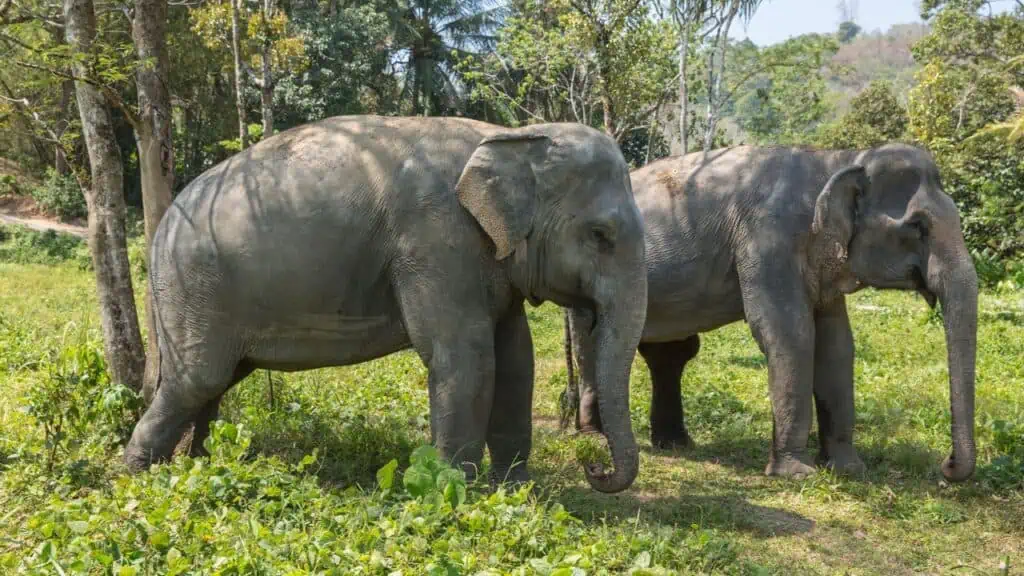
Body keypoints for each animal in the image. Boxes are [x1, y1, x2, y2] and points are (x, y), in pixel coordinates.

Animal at [121, 114, 647, 491]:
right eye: (600, 235)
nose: (594, 468)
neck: (510, 135)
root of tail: (161, 227)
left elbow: (518, 357)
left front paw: (514, 491)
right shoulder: (437, 241)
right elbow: (465, 357)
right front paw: (454, 492)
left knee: (214, 384)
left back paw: (198, 466)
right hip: (194, 289)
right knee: (197, 380)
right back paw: (138, 478)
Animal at [565, 142, 978, 479]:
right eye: (918, 226)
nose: (946, 465)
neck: (835, 159)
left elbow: (837, 344)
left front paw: (848, 469)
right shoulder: (766, 241)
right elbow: (790, 334)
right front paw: (797, 474)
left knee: (672, 354)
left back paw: (676, 444)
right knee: (596, 343)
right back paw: (595, 440)